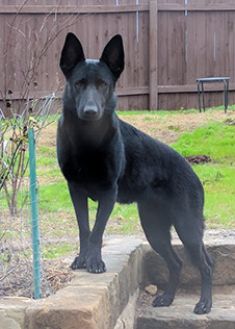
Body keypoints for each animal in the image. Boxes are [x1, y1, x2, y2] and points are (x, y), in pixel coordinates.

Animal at [57, 32, 213, 312]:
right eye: (79, 83)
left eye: (103, 84)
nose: (90, 112)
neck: (86, 142)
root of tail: (192, 170)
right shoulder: (75, 191)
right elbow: (84, 228)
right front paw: (82, 259)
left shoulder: (108, 193)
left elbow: (97, 231)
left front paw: (94, 262)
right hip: (154, 229)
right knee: (176, 263)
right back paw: (167, 298)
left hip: (187, 228)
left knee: (205, 265)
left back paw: (205, 303)